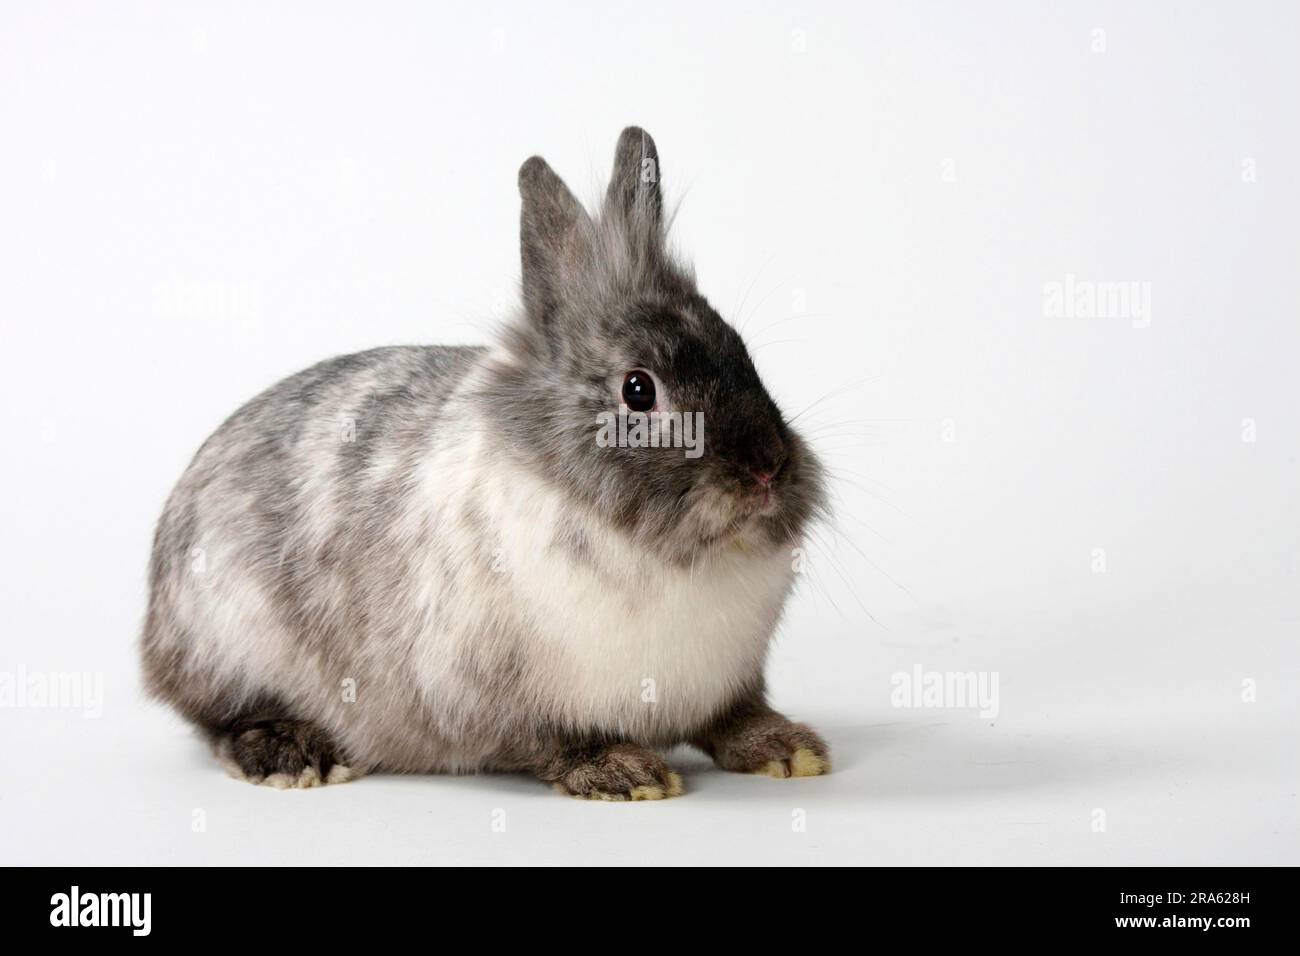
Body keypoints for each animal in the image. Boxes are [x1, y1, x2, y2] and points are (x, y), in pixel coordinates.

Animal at [141, 127, 830, 799]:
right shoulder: (484, 696)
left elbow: (733, 718)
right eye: (638, 390)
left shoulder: (727, 683)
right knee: (226, 717)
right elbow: (551, 742)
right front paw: (623, 771)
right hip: (229, 644)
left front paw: (788, 749)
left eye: (741, 350)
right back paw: (293, 757)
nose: (768, 470)